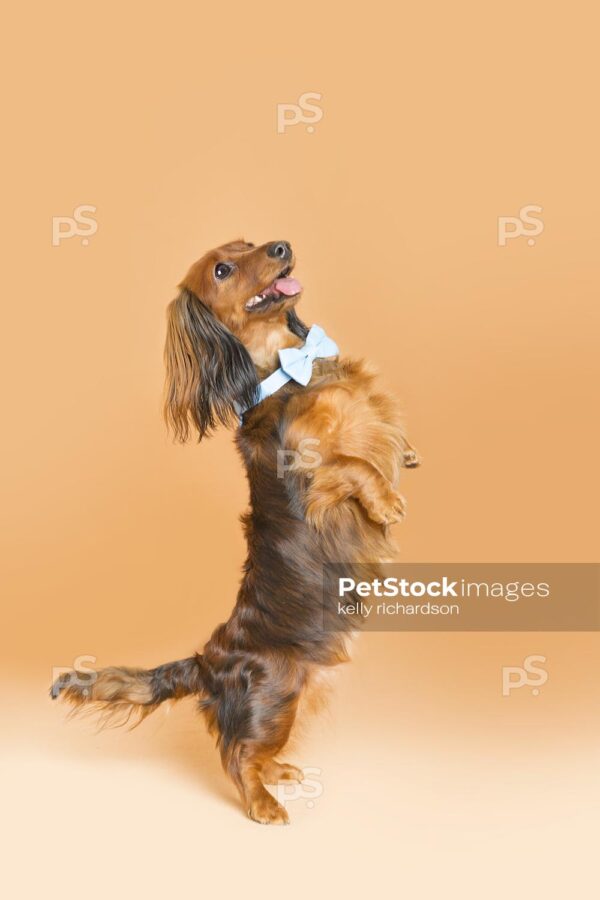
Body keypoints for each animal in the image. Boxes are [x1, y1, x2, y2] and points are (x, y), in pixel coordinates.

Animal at [51, 237, 420, 824]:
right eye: (222, 269)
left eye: (249, 244)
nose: (281, 246)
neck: (293, 370)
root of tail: (209, 662)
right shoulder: (311, 475)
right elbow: (357, 465)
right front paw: (387, 502)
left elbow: (387, 437)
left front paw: (405, 454)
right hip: (274, 698)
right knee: (237, 754)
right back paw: (263, 803)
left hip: (299, 696)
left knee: (254, 751)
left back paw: (280, 771)